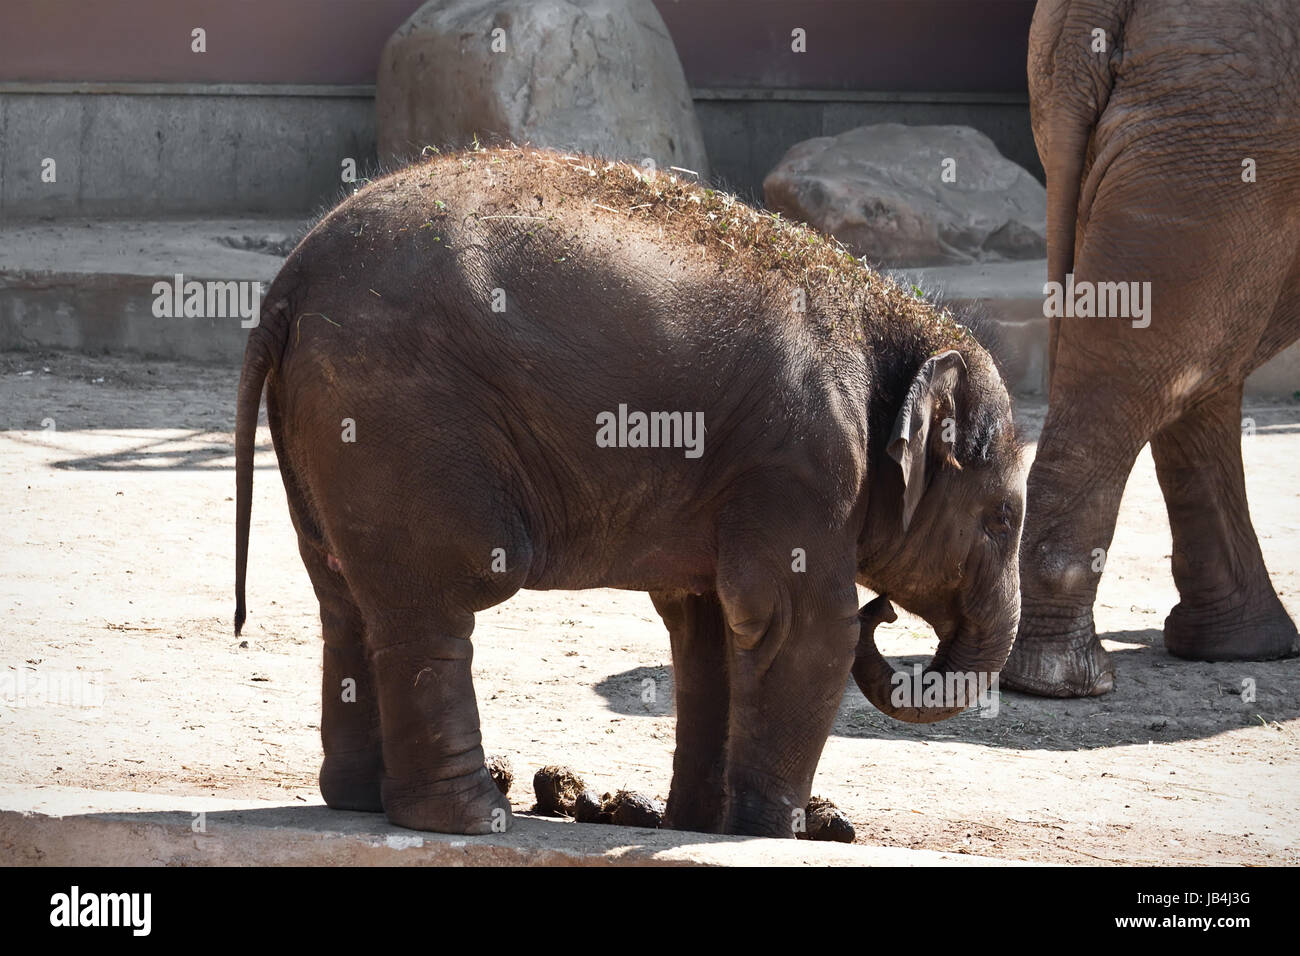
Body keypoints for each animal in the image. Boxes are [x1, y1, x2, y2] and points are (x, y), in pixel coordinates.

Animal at [234, 147, 1026, 837]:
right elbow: (805, 626)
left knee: (345, 599)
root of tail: (287, 286)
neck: (891, 319)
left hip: (327, 437)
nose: (883, 611)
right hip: (402, 425)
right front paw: (768, 835)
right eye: (1002, 519)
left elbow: (709, 629)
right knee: (438, 599)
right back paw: (472, 820)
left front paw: (702, 827)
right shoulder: (803, 460)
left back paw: (361, 802)